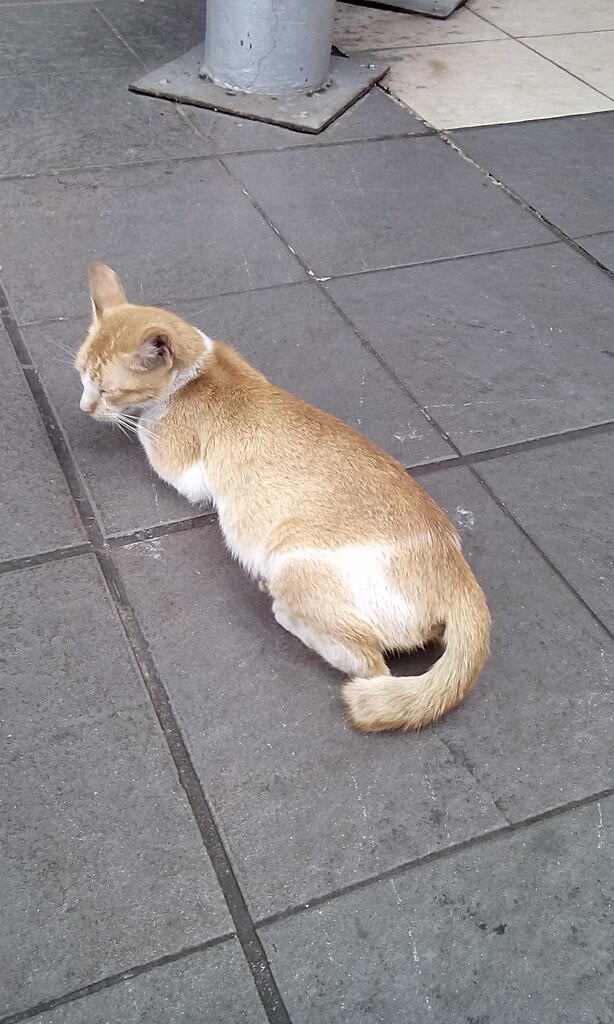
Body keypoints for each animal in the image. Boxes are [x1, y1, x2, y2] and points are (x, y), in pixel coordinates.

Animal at [75, 260, 489, 733]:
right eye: (80, 376)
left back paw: (281, 608)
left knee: (369, 664)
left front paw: (131, 420)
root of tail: (459, 579)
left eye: (106, 390)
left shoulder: (182, 468)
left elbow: (144, 431)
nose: (84, 408)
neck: (201, 367)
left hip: (294, 563)